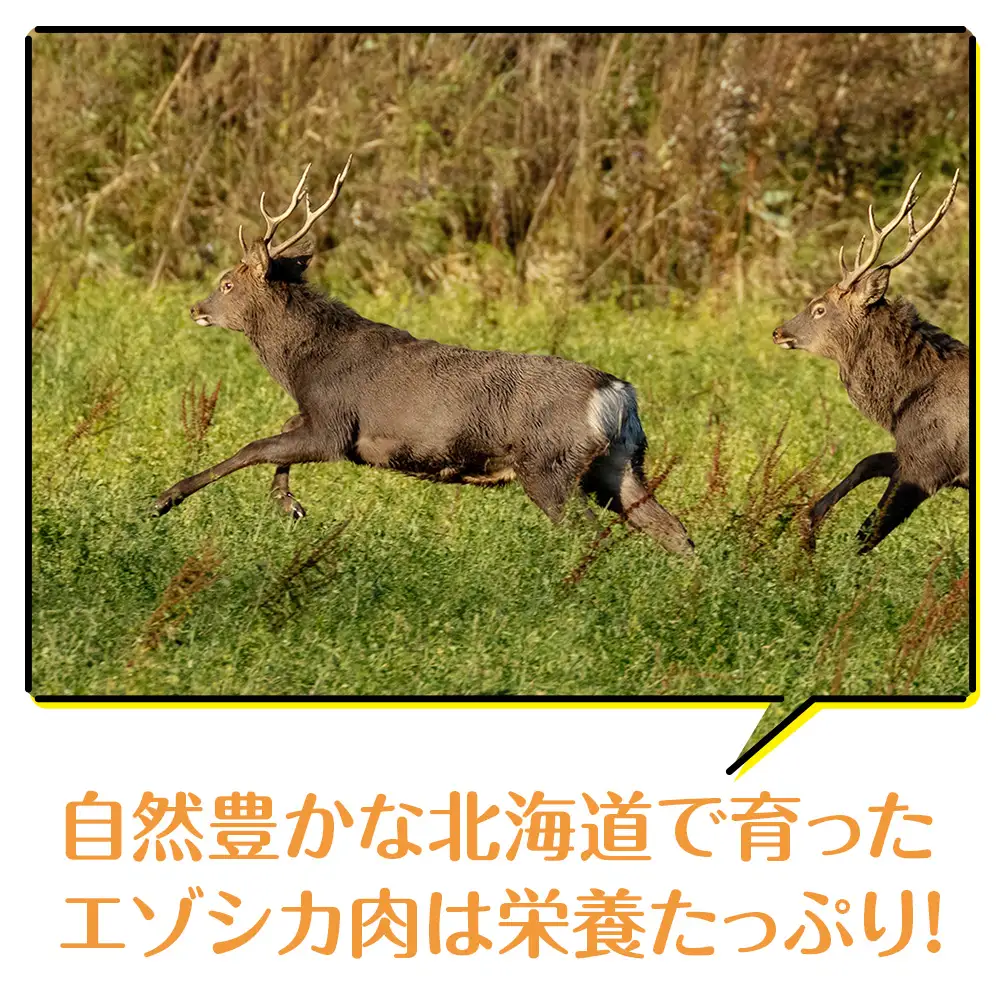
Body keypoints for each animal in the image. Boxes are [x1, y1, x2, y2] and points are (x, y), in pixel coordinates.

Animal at [153, 157, 695, 557]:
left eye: (227, 282)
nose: (196, 307)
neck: (304, 365)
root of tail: (617, 393)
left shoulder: (335, 425)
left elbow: (256, 446)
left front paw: (166, 498)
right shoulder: (320, 419)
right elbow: (278, 434)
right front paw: (288, 504)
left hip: (549, 465)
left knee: (593, 533)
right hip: (619, 463)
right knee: (674, 531)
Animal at [772, 170, 968, 554]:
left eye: (819, 308)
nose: (778, 331)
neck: (900, 405)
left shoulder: (930, 463)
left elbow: (868, 532)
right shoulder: (914, 453)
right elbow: (868, 462)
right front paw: (809, 525)